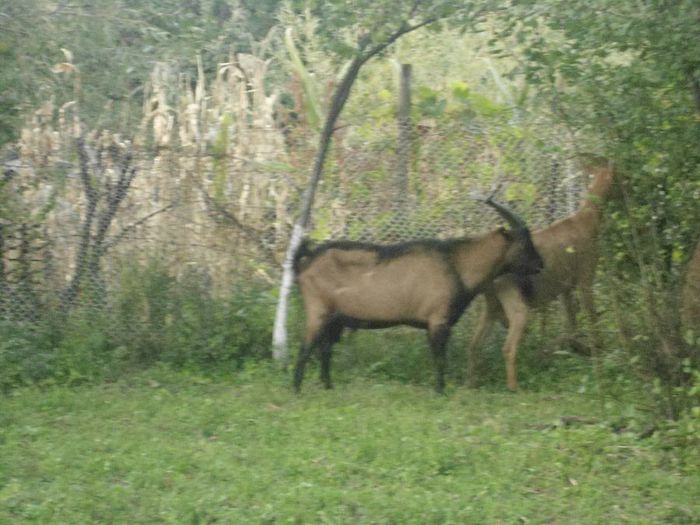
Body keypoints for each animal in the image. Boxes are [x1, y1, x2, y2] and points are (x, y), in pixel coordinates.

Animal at [292, 198, 544, 392]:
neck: (457, 263)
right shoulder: (438, 320)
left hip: (335, 319)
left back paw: (328, 387)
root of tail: (306, 262)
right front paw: (440, 391)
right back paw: (296, 390)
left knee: (325, 349)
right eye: (525, 242)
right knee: (305, 348)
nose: (540, 265)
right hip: (318, 311)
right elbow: (440, 359)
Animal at [468, 156, 616, 388]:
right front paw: (599, 361)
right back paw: (515, 387)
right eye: (622, 175)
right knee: (507, 347)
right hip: (517, 305)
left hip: (491, 305)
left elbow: (572, 324)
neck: (588, 219)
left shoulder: (566, 287)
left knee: (474, 345)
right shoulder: (585, 278)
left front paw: (570, 350)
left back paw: (470, 384)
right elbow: (592, 320)